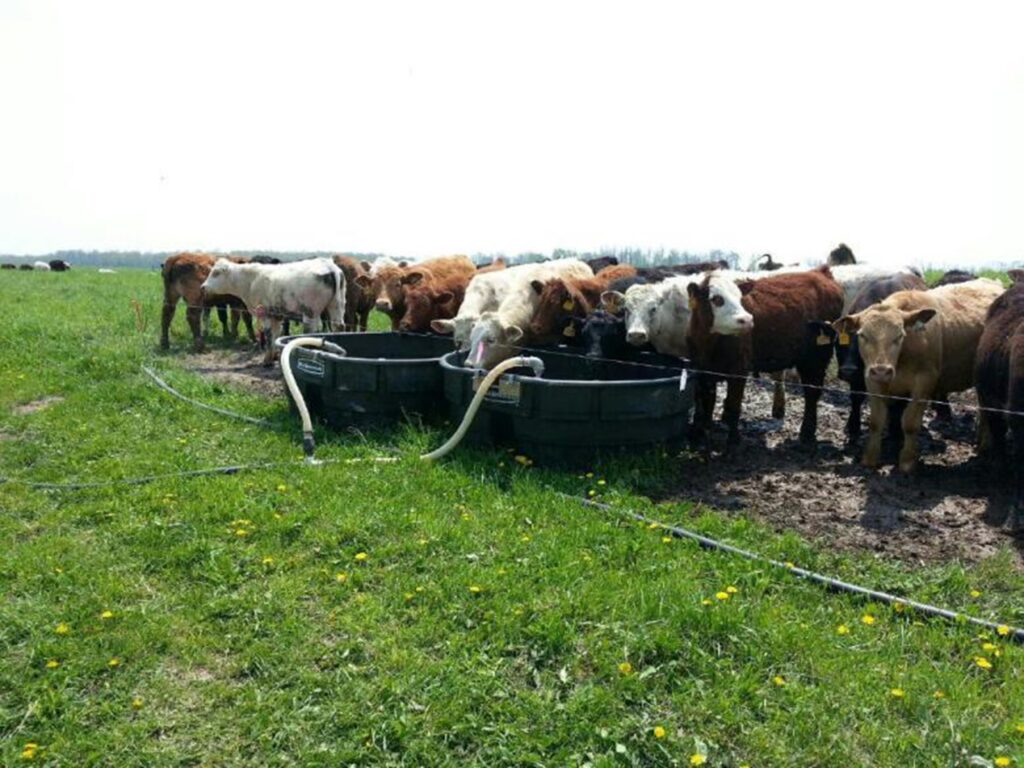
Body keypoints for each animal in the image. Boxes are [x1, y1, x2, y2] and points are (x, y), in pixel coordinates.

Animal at [199, 259, 348, 366]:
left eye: (216, 273)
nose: (203, 287)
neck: (250, 280)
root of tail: (329, 265)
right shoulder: (277, 315)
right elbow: (276, 334)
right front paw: (275, 356)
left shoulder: (265, 314)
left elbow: (269, 334)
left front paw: (267, 360)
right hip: (337, 306)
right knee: (338, 327)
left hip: (311, 313)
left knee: (312, 333)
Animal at [684, 268, 843, 450]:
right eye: (717, 299)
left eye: (740, 298)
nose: (747, 319)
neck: (709, 344)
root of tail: (819, 272)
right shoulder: (701, 370)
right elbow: (704, 403)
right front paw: (699, 435)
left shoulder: (739, 370)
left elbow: (734, 404)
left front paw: (733, 441)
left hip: (817, 357)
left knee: (812, 393)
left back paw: (807, 433)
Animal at [835, 280, 1003, 473]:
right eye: (862, 335)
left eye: (899, 335)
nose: (882, 370)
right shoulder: (872, 381)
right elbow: (876, 421)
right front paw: (869, 459)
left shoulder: (924, 383)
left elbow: (910, 423)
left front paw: (907, 461)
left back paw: (985, 444)